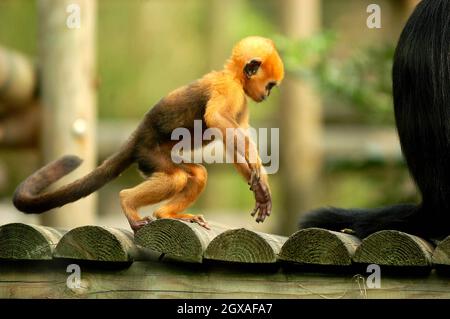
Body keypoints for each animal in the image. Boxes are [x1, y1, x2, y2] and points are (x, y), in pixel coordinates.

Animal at [13, 37, 284, 232]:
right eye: (270, 85)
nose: (268, 95)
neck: (235, 78)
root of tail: (137, 136)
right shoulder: (229, 90)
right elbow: (216, 119)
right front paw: (258, 173)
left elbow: (232, 140)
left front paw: (260, 188)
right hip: (149, 154)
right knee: (175, 178)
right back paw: (128, 202)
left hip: (163, 155)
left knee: (196, 174)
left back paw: (166, 214)